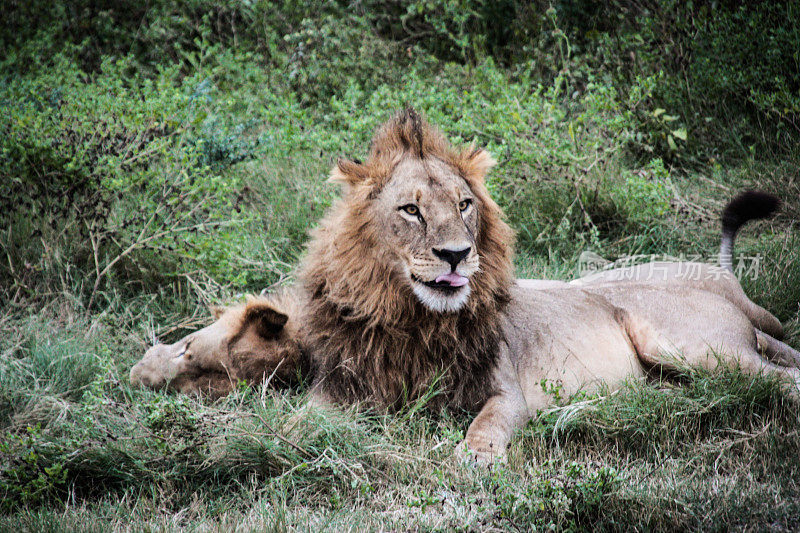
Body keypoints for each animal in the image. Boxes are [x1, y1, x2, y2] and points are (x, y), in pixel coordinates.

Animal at [133, 110, 800, 464]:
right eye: (410, 211)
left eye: (462, 204)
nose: (456, 254)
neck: (410, 318)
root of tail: (723, 283)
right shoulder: (342, 390)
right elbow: (297, 425)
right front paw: (263, 442)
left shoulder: (504, 390)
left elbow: (487, 425)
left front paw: (473, 461)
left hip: (689, 344)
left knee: (781, 376)